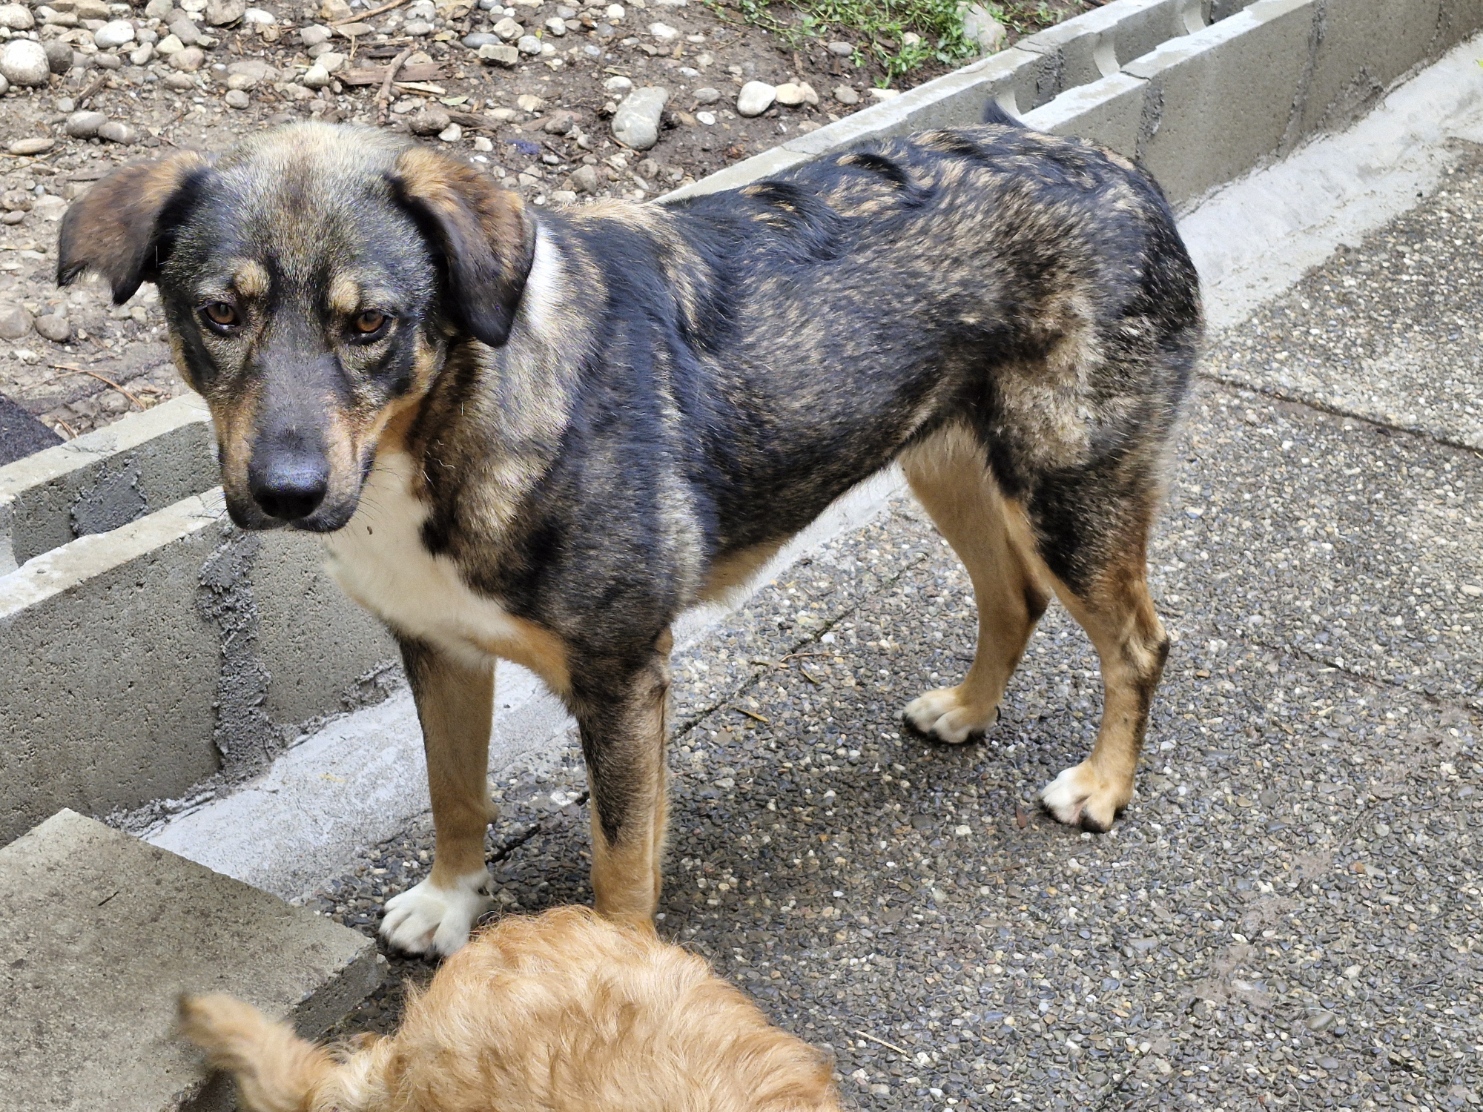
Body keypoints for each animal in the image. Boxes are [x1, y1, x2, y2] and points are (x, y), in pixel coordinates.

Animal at [58, 116, 1201, 955]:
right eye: (219, 313)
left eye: (370, 324)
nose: (285, 494)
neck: (448, 424)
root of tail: (1121, 170)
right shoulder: (440, 647)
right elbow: (453, 793)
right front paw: (449, 899)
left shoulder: (622, 683)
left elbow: (617, 862)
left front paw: (611, 979)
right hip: (951, 465)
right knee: (1014, 595)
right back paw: (966, 711)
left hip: (1069, 491)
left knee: (1137, 643)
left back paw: (1102, 786)